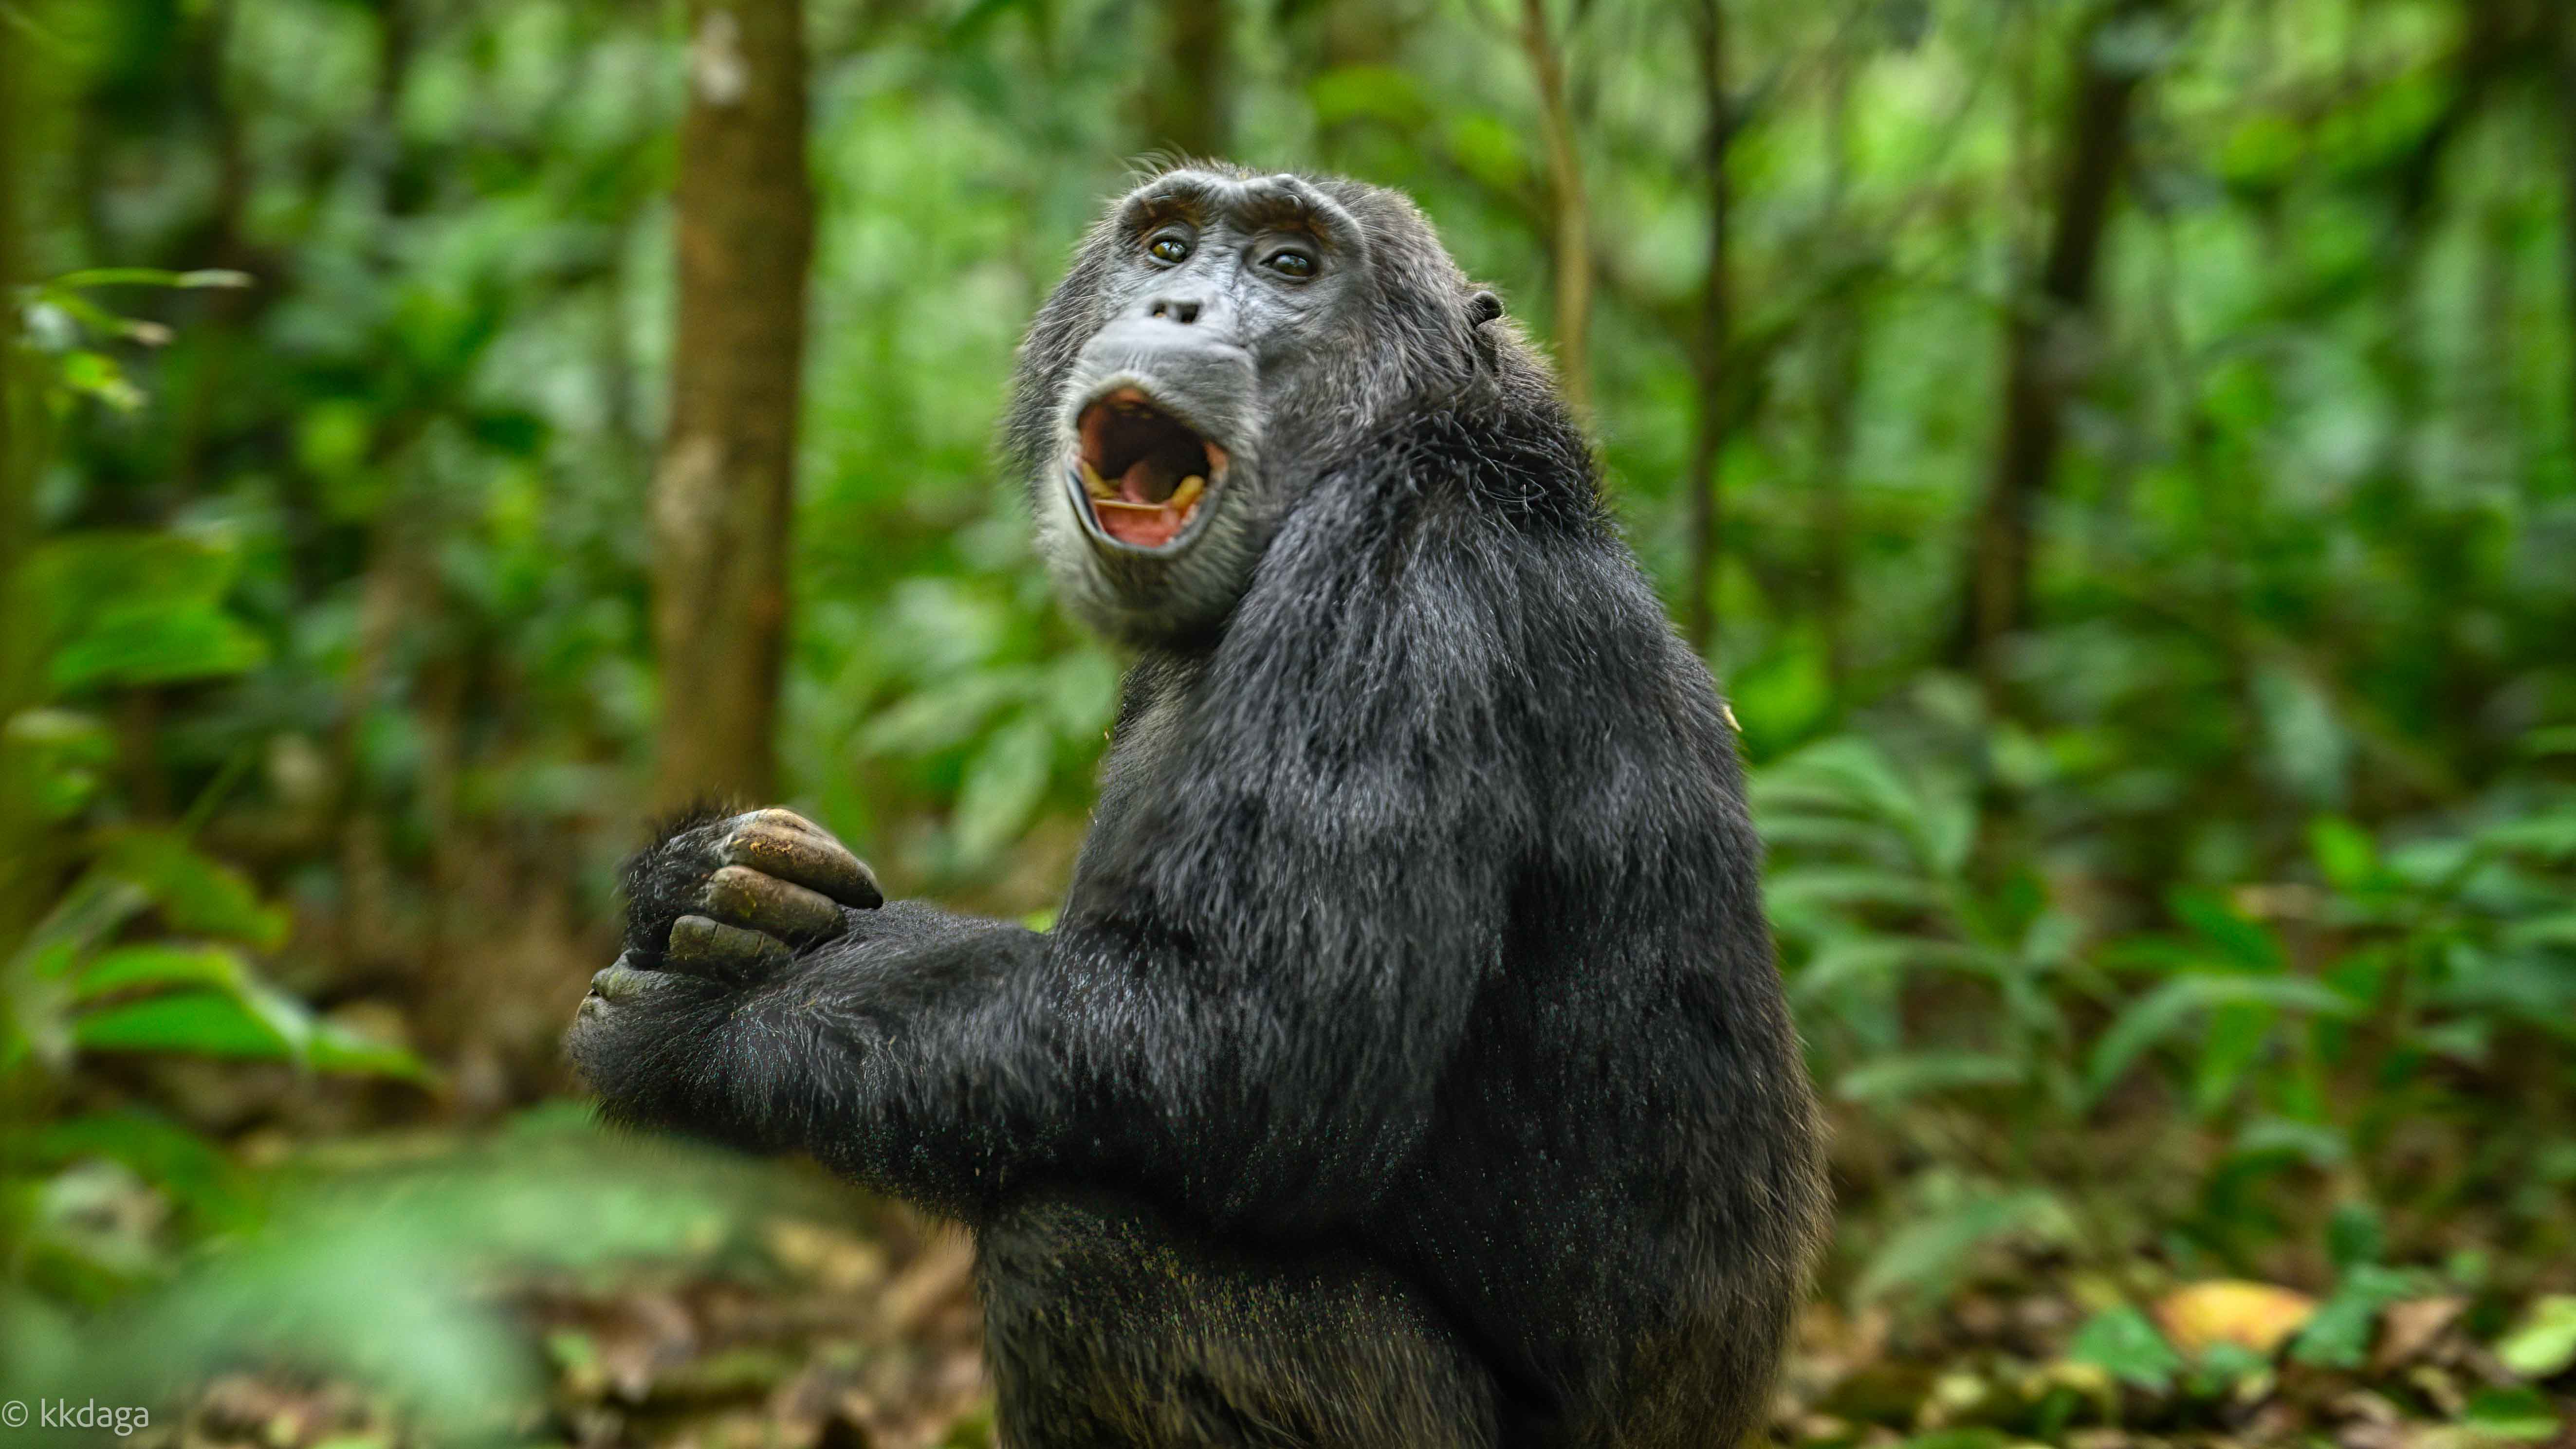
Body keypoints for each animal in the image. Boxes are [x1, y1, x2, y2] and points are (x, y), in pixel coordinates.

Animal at [579, 169, 1834, 1449]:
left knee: (1080, 1248)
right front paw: (706, 873)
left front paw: (702, 1025)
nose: (1176, 304)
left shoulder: (1396, 590)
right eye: (1168, 246)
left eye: (1290, 266)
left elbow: (1242, 1037)